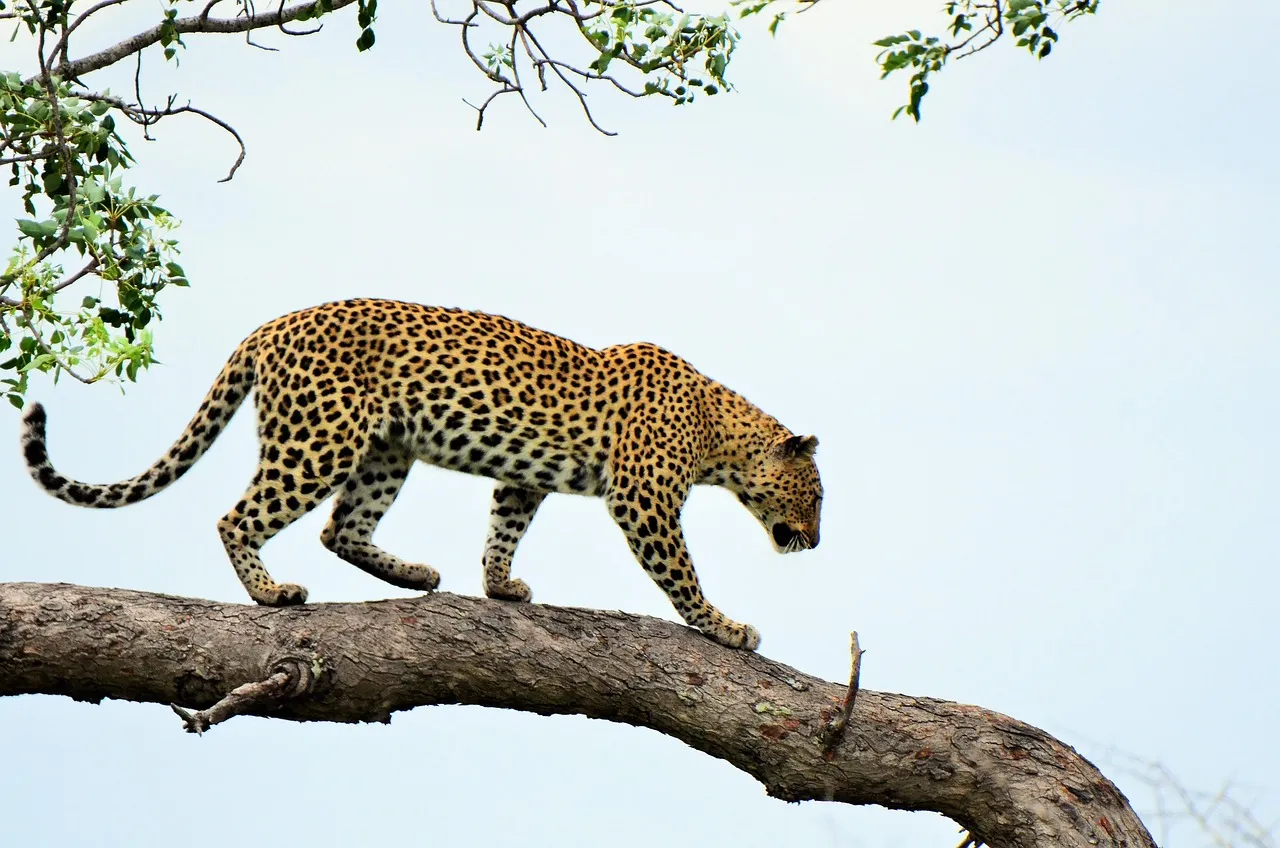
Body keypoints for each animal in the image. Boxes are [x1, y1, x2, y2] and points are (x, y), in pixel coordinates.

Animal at [19, 298, 823, 650]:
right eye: (815, 496)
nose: (815, 542)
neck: (720, 434)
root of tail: (267, 326)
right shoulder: (644, 498)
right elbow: (681, 573)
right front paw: (725, 627)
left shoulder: (525, 478)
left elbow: (504, 525)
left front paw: (500, 587)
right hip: (320, 441)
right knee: (238, 518)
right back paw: (272, 594)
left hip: (385, 451)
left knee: (343, 528)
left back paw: (414, 575)